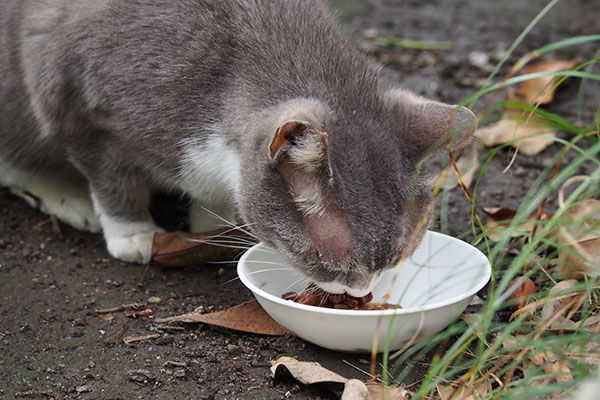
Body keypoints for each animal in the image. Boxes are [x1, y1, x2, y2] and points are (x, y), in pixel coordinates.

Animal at [0, 0, 478, 296]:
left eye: (395, 258)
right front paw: (133, 234)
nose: (359, 292)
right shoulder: (78, 109)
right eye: (326, 261)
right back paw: (68, 198)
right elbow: (111, 178)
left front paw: (210, 227)